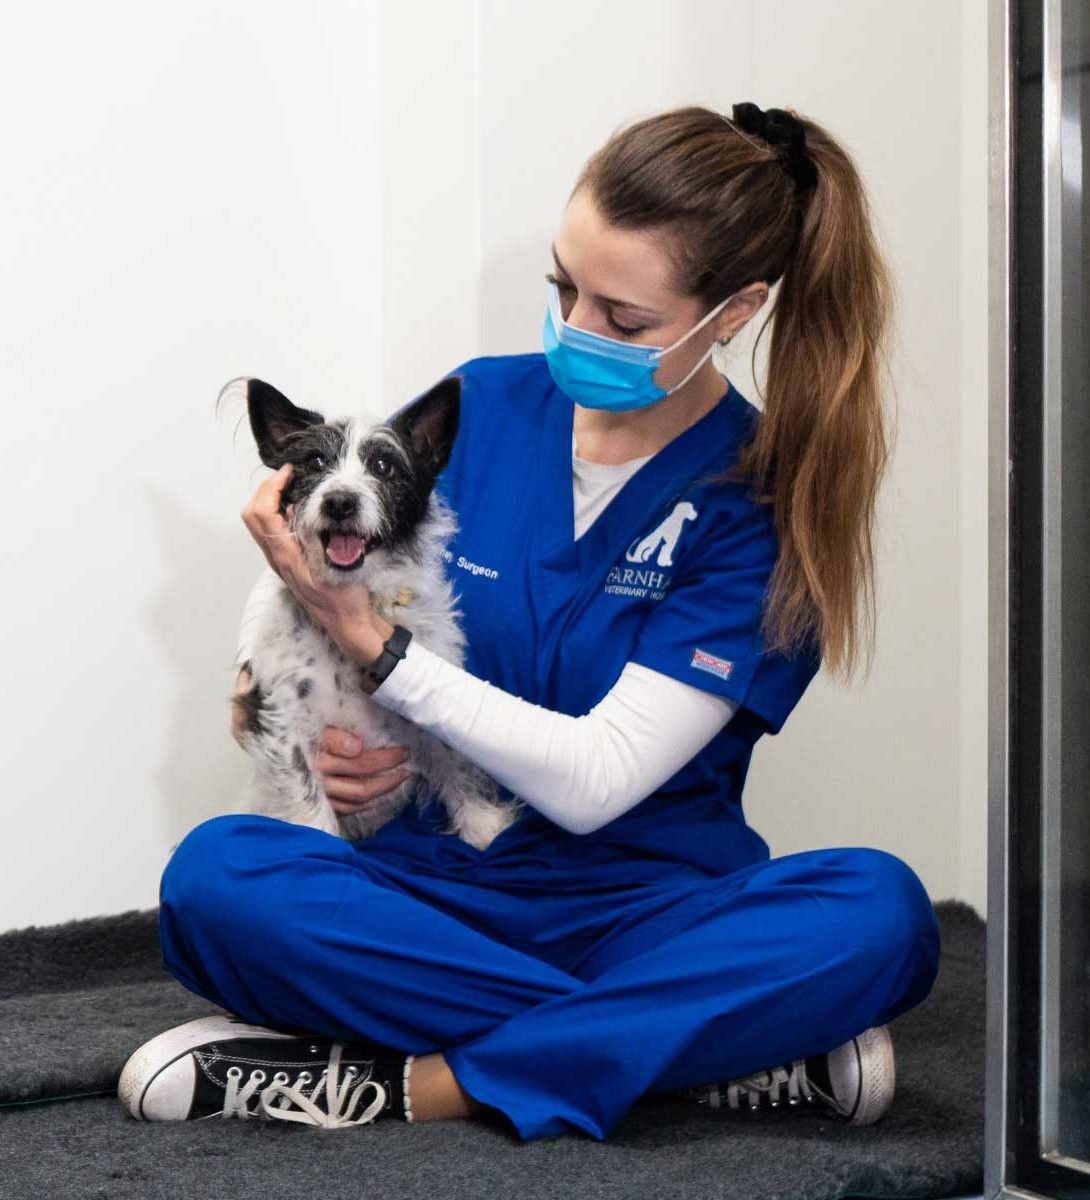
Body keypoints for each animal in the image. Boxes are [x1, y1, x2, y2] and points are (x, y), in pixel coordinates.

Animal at [220, 374, 523, 854]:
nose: (340, 502)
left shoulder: (433, 713)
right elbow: (306, 797)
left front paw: (485, 828)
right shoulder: (282, 720)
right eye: (315, 461)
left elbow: (458, 763)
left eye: (384, 466)